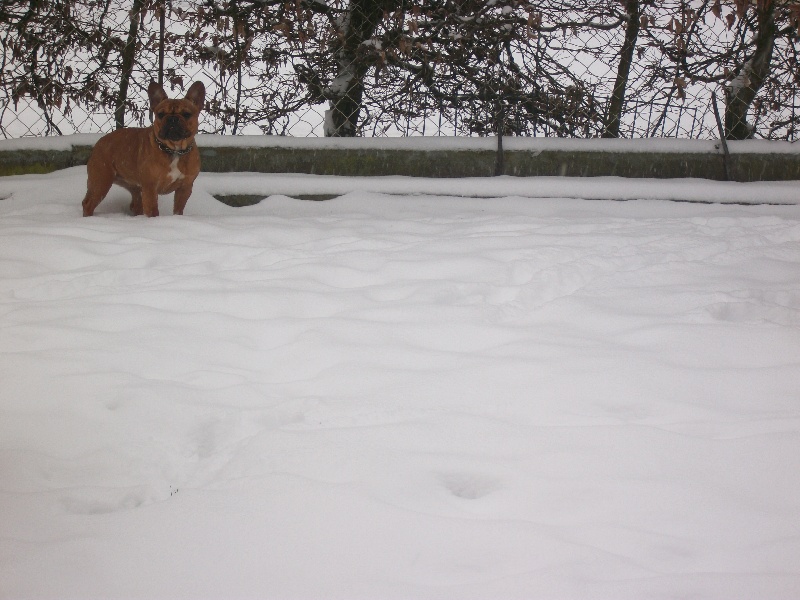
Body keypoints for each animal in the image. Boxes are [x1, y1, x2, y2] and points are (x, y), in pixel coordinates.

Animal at [81, 80, 205, 218]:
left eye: (186, 114)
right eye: (160, 114)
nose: (172, 119)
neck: (174, 149)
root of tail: (99, 142)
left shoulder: (185, 188)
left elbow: (178, 209)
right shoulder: (150, 188)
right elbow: (153, 210)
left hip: (134, 187)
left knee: (135, 204)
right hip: (101, 181)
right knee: (88, 203)